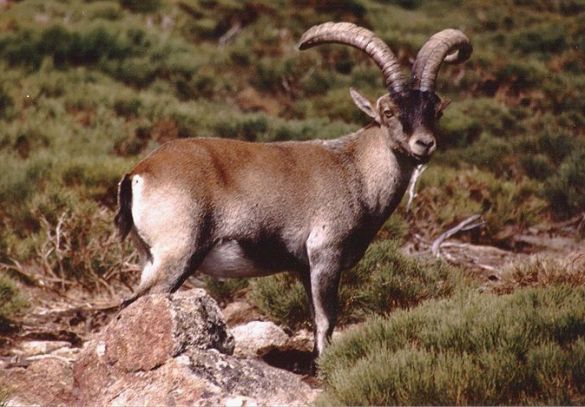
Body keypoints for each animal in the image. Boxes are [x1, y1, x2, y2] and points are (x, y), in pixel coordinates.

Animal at [114, 21, 470, 356]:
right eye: (388, 111)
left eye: (436, 111)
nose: (424, 144)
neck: (354, 169)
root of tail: (140, 173)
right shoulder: (325, 254)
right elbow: (326, 320)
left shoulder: (303, 266)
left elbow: (315, 318)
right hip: (176, 256)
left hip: (150, 258)